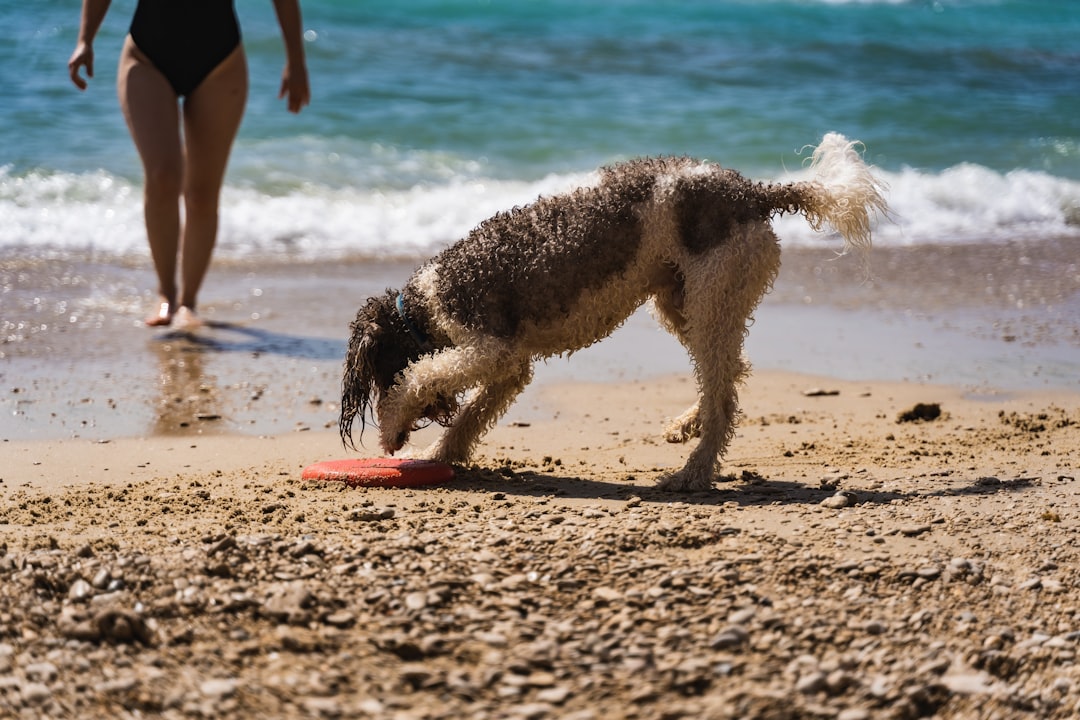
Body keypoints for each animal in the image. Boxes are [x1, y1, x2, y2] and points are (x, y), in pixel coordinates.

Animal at [336, 133, 885, 492]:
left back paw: (692, 473)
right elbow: (474, 412)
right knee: (729, 374)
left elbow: (421, 376)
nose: (407, 433)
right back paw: (688, 426)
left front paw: (392, 427)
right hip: (685, 304)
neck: (424, 305)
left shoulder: (488, 347)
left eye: (376, 373)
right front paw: (441, 453)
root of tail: (754, 192)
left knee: (724, 396)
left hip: (711, 298)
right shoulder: (510, 365)